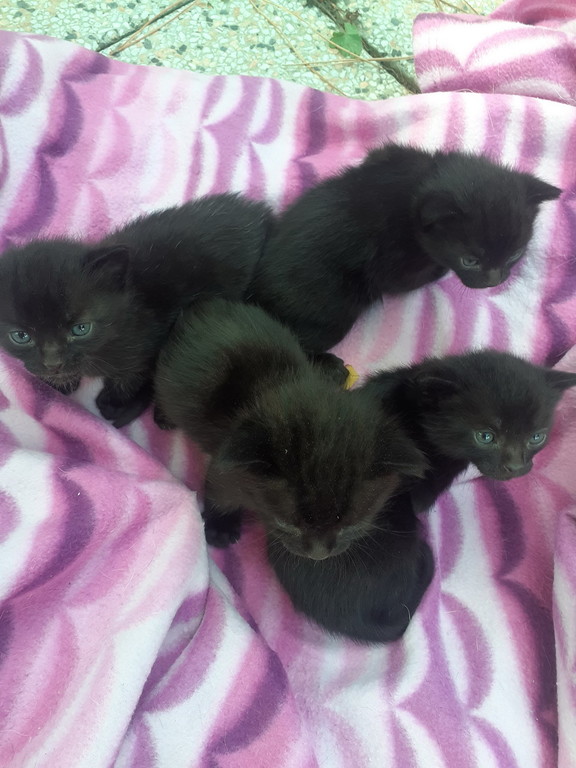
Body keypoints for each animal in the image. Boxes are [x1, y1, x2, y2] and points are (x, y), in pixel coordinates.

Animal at [0, 193, 273, 427]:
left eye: (81, 329)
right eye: (21, 336)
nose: (53, 363)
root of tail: (260, 212)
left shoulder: (142, 345)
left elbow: (130, 377)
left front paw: (112, 401)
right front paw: (59, 385)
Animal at [153, 298, 427, 554]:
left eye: (351, 525)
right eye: (286, 524)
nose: (319, 554)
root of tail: (200, 306)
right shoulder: (228, 470)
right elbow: (219, 494)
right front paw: (220, 528)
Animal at [248, 144, 561, 351]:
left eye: (515, 254)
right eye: (470, 260)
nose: (494, 281)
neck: (418, 185)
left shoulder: (390, 153)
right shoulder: (393, 265)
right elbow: (409, 280)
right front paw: (439, 271)